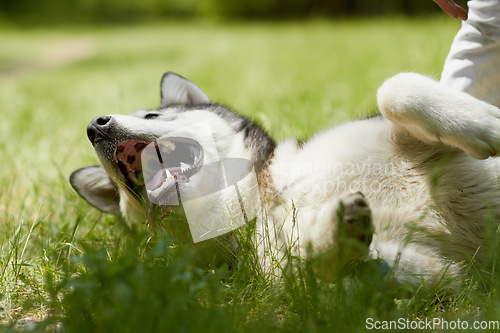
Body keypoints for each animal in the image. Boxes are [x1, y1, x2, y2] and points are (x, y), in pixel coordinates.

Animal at [70, 72, 500, 286]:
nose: (92, 126)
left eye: (153, 115)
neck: (269, 196)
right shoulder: (438, 271)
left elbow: (394, 89)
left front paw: (487, 124)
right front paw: (337, 232)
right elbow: (311, 268)